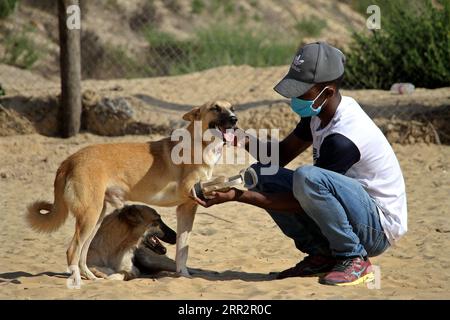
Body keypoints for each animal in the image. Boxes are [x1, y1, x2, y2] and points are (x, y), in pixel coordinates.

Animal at [27, 100, 239, 288]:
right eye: (215, 108)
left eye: (232, 107)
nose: (234, 119)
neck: (200, 144)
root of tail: (69, 159)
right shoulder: (189, 191)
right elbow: (220, 180)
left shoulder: (186, 207)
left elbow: (181, 251)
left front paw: (184, 275)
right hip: (89, 216)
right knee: (72, 251)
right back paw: (79, 281)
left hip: (96, 216)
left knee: (82, 254)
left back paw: (93, 277)